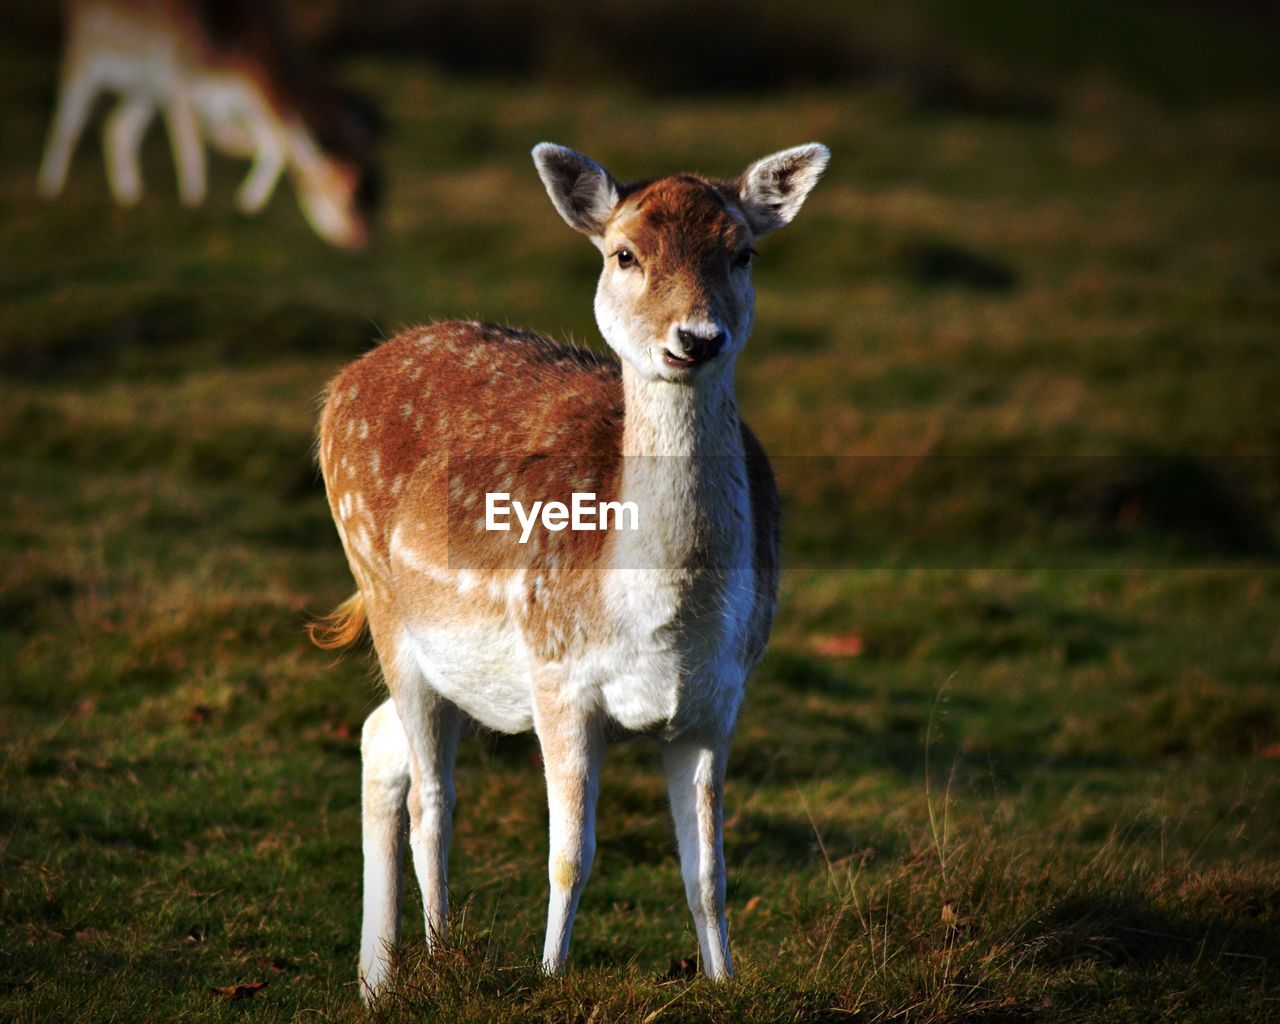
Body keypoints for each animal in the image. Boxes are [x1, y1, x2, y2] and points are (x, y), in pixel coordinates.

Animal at [37, 0, 376, 248]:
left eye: (357, 195)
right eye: (341, 194)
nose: (360, 236)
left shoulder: (232, 106)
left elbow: (267, 141)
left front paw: (245, 200)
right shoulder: (179, 84)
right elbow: (193, 151)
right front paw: (196, 204)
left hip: (144, 88)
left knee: (116, 129)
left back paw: (130, 196)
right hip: (83, 58)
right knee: (67, 124)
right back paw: (49, 189)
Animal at [311, 140, 829, 998]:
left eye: (742, 252)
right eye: (624, 254)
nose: (698, 338)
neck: (661, 619)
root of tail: (345, 378)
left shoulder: (719, 699)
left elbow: (708, 871)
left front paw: (723, 980)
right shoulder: (559, 675)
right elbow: (568, 855)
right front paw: (551, 975)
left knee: (379, 736)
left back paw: (375, 977)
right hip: (384, 599)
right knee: (431, 798)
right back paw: (438, 952)